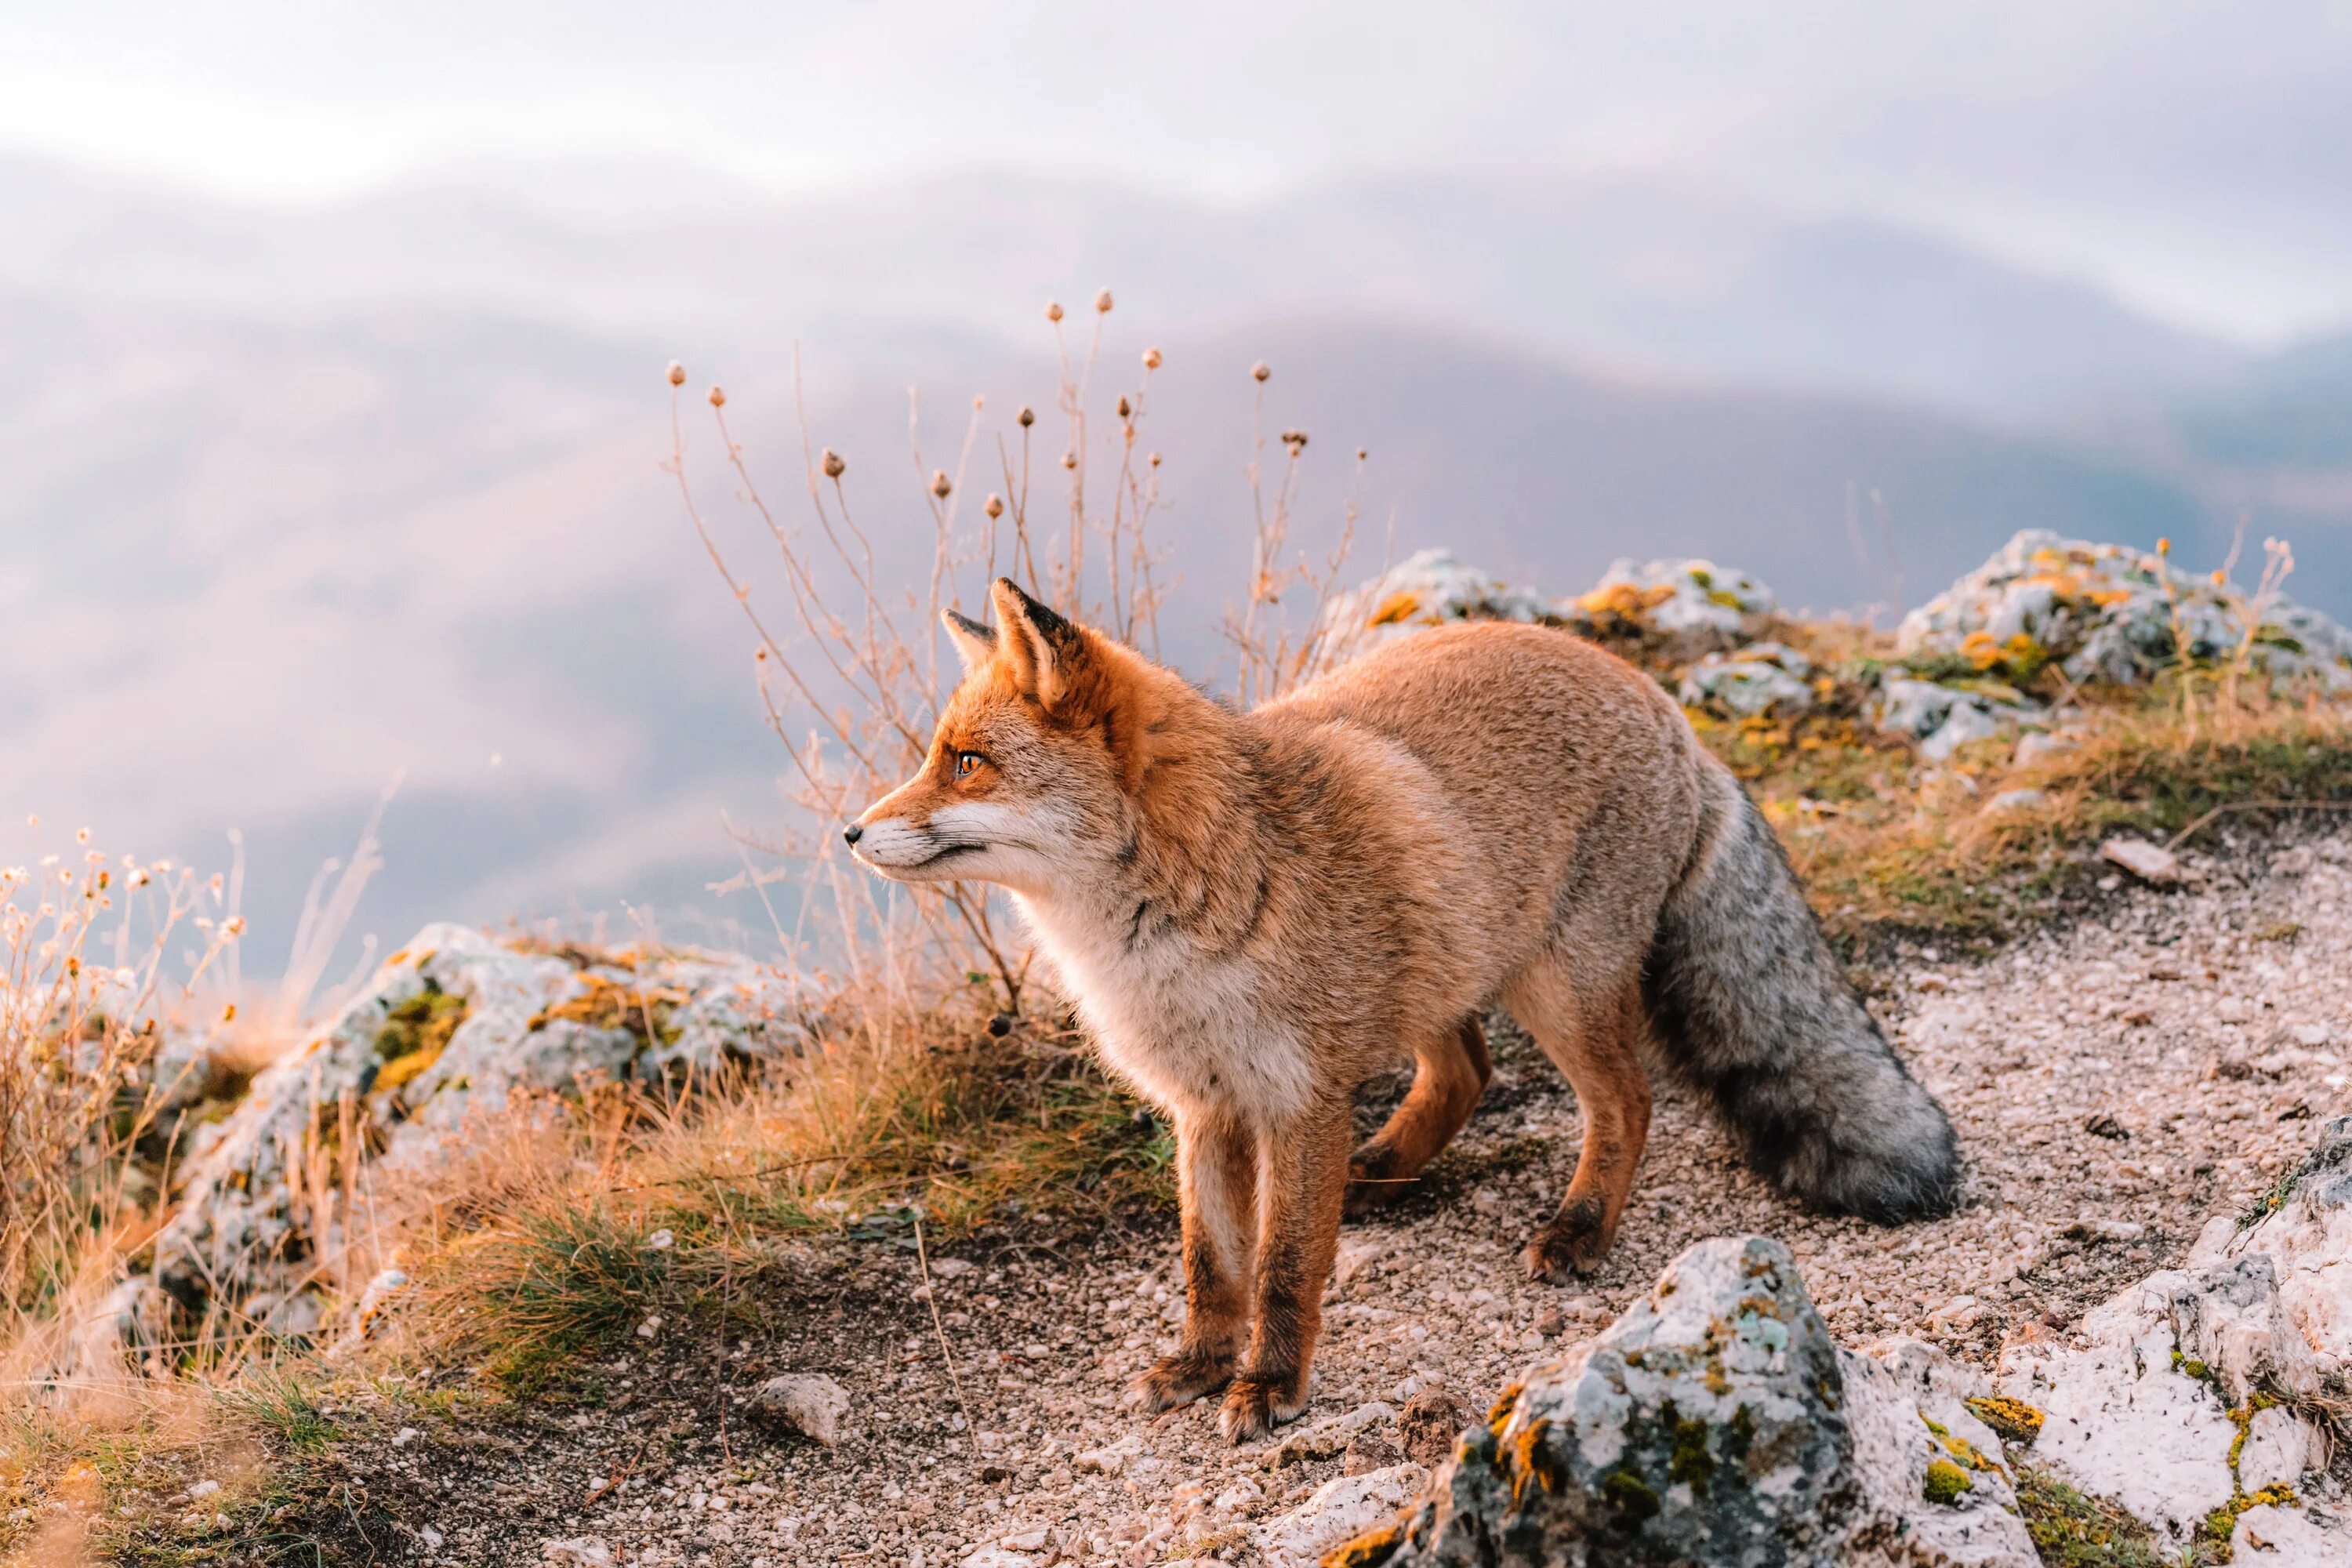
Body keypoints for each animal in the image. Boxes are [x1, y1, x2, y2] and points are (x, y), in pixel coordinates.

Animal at [856, 571, 1957, 1439]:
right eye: (934, 755)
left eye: (967, 762)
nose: (850, 833)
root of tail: (1662, 701)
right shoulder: (1206, 1105)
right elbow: (1213, 1264)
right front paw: (1203, 1363)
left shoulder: (1297, 1099)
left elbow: (1284, 1265)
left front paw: (1269, 1385)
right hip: (1448, 962)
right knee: (1468, 1069)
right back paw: (1381, 1170)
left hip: (1555, 986)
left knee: (1627, 1101)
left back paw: (1579, 1229)